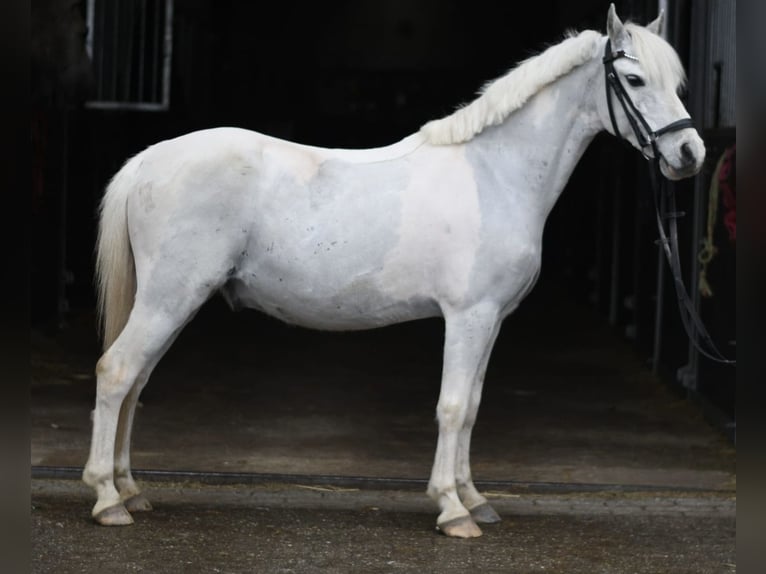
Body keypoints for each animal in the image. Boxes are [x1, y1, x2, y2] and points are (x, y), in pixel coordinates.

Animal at [83, 4, 705, 538]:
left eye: (675, 83)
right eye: (634, 80)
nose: (690, 156)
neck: (494, 173)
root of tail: (149, 158)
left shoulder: (492, 321)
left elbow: (472, 407)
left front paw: (474, 497)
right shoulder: (468, 317)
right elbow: (452, 407)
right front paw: (453, 510)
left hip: (168, 301)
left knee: (136, 382)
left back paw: (130, 488)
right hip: (169, 298)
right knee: (117, 373)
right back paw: (107, 499)